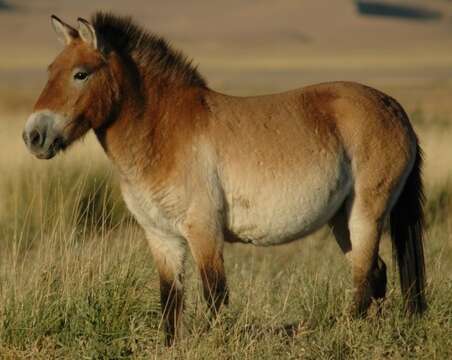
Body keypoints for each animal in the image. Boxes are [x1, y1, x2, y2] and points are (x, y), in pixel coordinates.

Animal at [23, 13, 428, 346]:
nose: (33, 136)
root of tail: (394, 108)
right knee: (375, 273)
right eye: (49, 70)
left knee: (364, 278)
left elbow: (214, 295)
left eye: (80, 74)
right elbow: (170, 300)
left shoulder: (203, 230)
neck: (162, 133)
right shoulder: (161, 236)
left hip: (365, 214)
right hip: (341, 219)